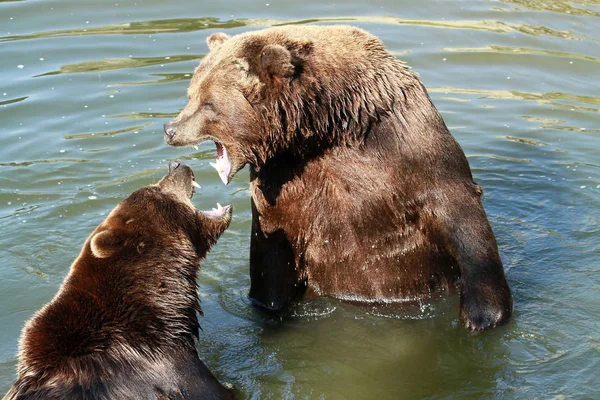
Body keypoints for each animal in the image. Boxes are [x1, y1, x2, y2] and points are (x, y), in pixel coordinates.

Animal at [163, 25, 510, 332]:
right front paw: (269, 307)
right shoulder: (283, 180)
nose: (170, 128)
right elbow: (271, 250)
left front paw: (482, 316)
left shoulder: (409, 151)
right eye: (191, 93)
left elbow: (458, 213)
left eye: (208, 102)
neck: (326, 129)